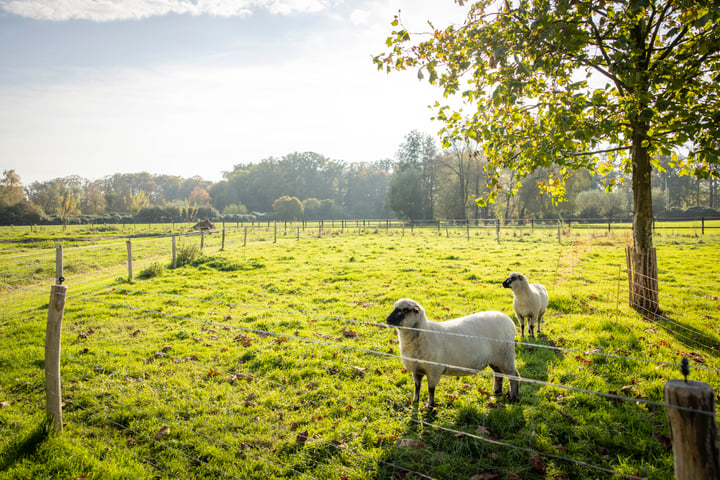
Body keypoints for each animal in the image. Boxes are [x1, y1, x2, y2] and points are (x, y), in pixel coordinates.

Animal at [386, 298, 520, 406]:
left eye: (404, 310)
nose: (387, 320)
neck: (425, 332)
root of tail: (509, 320)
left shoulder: (434, 370)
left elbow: (431, 389)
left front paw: (431, 405)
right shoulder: (417, 368)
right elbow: (417, 386)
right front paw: (415, 401)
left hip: (506, 355)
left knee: (514, 376)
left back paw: (513, 397)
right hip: (496, 359)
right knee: (498, 374)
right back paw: (497, 391)